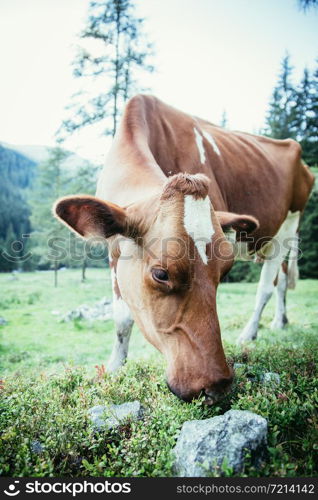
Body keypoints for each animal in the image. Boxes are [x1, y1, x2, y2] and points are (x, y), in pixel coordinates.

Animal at [54, 94, 314, 402]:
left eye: (225, 270)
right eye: (161, 274)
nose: (216, 383)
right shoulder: (114, 252)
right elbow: (121, 318)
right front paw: (114, 367)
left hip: (287, 228)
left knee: (266, 286)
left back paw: (249, 334)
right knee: (282, 280)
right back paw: (280, 322)